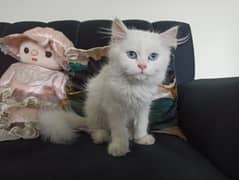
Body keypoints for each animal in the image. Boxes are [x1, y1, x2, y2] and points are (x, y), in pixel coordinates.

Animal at [38, 19, 177, 156]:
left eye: (153, 57)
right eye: (132, 55)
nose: (142, 66)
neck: (134, 86)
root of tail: (87, 118)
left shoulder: (143, 107)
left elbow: (142, 123)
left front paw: (141, 138)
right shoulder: (115, 109)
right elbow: (119, 130)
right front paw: (119, 147)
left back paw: (130, 134)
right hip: (95, 108)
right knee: (94, 128)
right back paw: (101, 136)